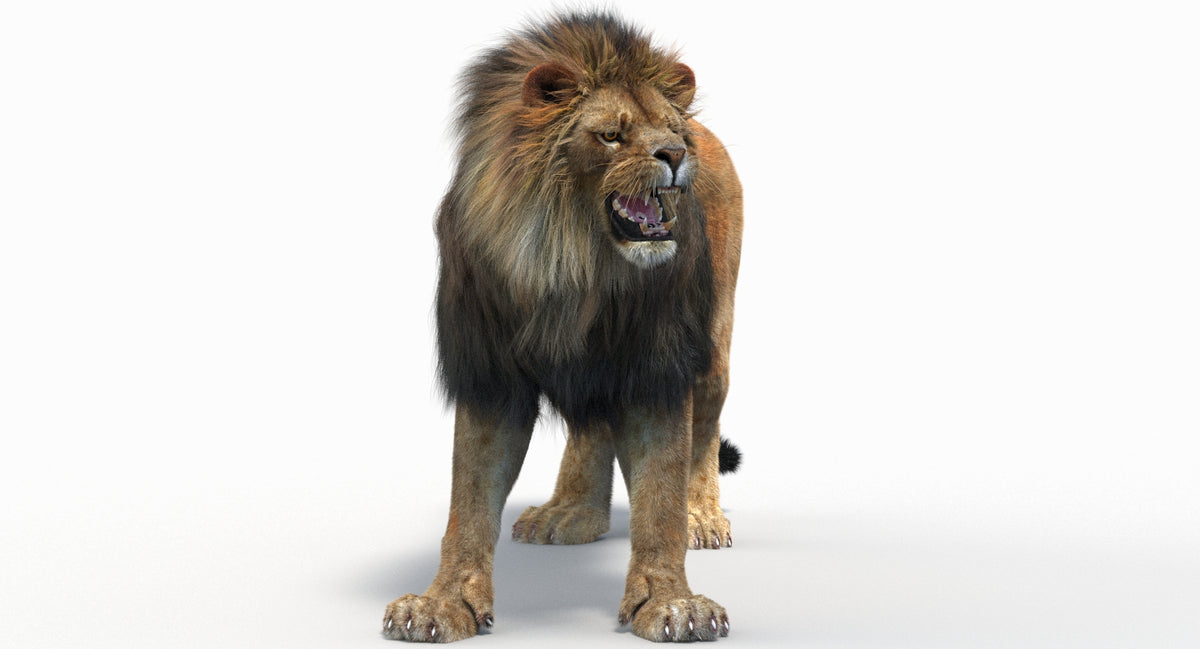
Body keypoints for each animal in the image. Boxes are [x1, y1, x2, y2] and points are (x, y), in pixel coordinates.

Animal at [382, 11, 743, 643]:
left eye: (670, 128)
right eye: (612, 135)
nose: (676, 153)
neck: (572, 264)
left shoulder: (657, 364)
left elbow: (660, 495)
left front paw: (673, 604)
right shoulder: (489, 371)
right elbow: (468, 499)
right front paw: (441, 603)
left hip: (714, 351)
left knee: (702, 435)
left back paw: (702, 516)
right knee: (590, 425)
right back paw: (571, 512)